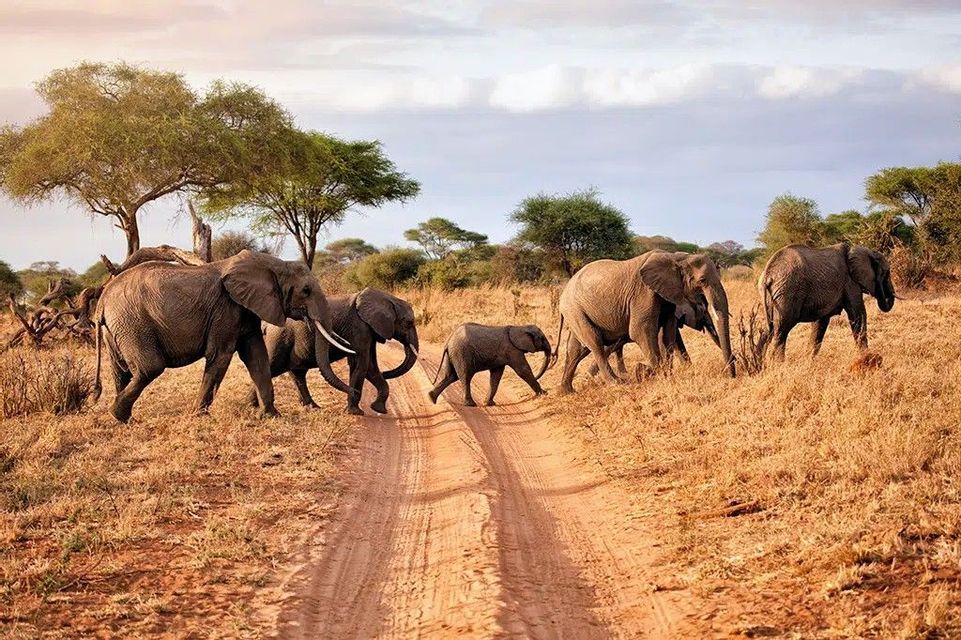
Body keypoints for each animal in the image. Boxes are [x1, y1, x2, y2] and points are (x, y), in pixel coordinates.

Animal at [93, 250, 355, 422]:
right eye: (306, 291)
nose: (354, 394)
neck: (274, 264)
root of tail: (102, 300)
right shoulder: (225, 308)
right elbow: (220, 355)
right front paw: (198, 416)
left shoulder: (247, 309)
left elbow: (257, 357)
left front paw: (271, 416)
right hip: (133, 323)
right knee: (150, 367)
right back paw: (118, 415)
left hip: (117, 328)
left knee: (121, 370)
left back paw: (124, 419)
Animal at [257, 288, 419, 416]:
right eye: (409, 323)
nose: (386, 373)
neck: (388, 298)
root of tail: (265, 324)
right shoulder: (359, 328)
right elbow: (362, 365)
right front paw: (356, 412)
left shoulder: (369, 330)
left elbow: (371, 367)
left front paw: (378, 409)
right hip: (279, 338)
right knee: (272, 367)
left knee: (297, 374)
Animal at [556, 250, 734, 394]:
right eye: (702, 280)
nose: (731, 375)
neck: (676, 257)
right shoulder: (643, 293)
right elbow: (641, 331)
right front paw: (650, 373)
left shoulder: (668, 296)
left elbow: (668, 334)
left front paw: (664, 374)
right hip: (575, 309)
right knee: (595, 343)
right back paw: (617, 382)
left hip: (577, 312)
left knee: (576, 349)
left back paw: (567, 391)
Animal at [758, 243, 895, 360]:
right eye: (887, 273)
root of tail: (767, 275)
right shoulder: (850, 283)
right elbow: (858, 315)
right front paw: (867, 356)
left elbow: (820, 323)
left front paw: (809, 361)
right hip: (788, 291)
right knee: (781, 329)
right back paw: (778, 364)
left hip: (774, 297)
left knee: (767, 330)